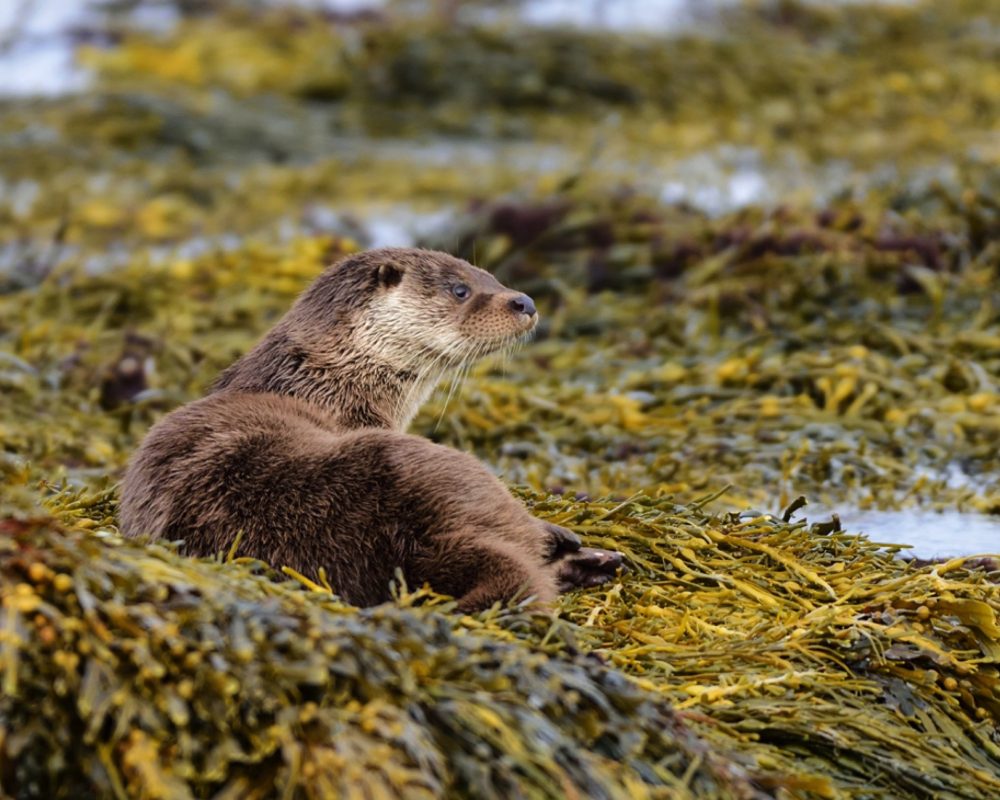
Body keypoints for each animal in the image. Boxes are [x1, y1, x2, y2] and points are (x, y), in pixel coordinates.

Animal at [119, 247, 624, 608]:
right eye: (460, 289)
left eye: (492, 277)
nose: (525, 301)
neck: (330, 385)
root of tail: (414, 536)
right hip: (452, 470)